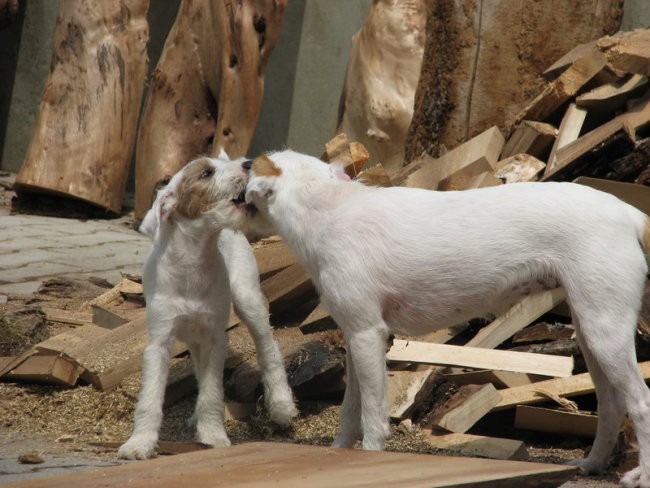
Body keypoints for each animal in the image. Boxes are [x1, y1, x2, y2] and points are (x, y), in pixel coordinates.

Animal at [117, 153, 294, 462]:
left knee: (268, 349)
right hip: (195, 335)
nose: (248, 163)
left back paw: (281, 405)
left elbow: (212, 393)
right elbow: (150, 397)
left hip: (248, 299)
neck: (194, 260)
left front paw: (213, 435)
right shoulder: (160, 341)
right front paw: (139, 444)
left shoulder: (214, 338)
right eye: (206, 174)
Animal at [214, 151, 648, 486]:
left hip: (604, 330)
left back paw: (639, 475)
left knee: (639, 400)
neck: (326, 207)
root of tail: (630, 213)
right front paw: (341, 457)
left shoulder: (368, 336)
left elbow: (372, 416)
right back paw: (592, 464)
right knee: (611, 403)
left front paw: (370, 458)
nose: (234, 164)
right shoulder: (355, 338)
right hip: (591, 329)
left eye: (252, 164)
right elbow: (350, 413)